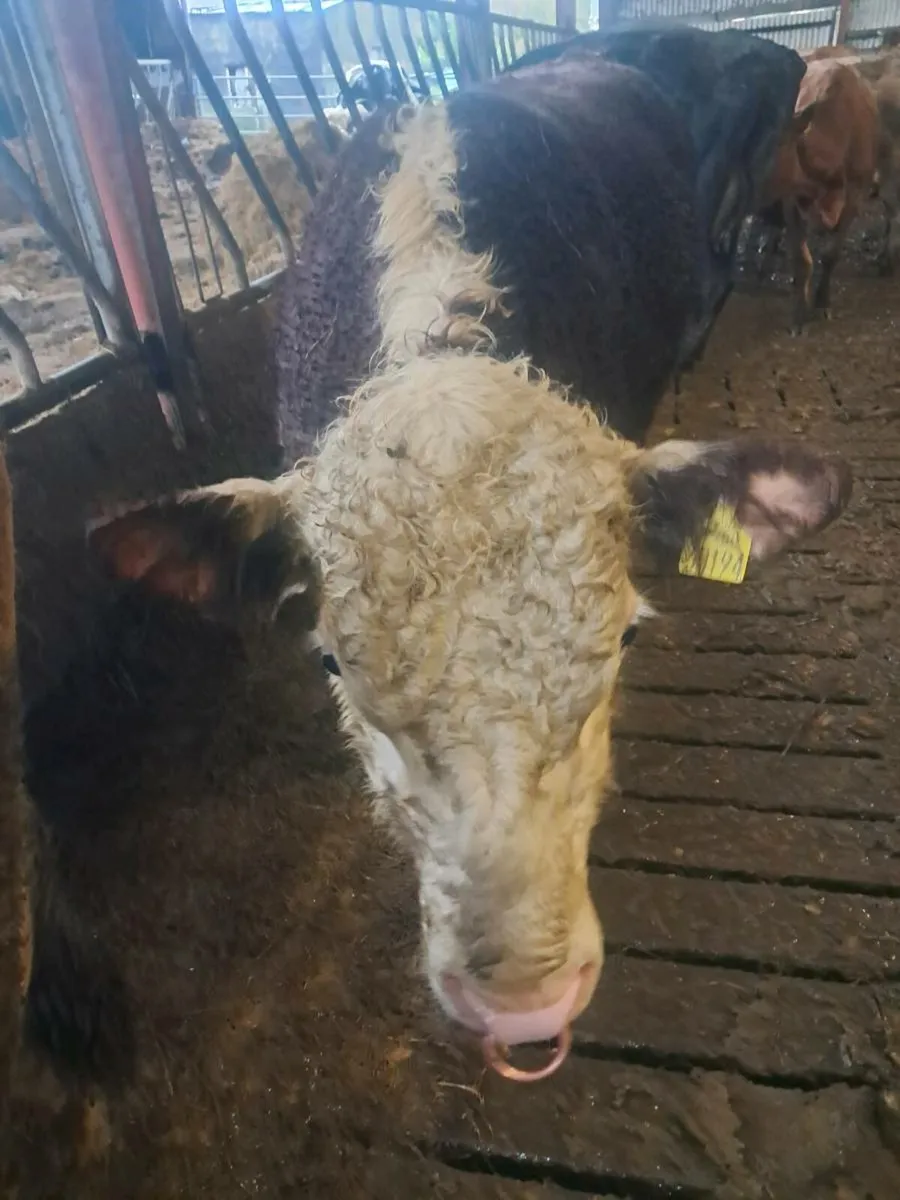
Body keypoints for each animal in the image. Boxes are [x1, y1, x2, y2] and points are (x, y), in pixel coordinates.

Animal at [758, 57, 879, 332]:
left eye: (776, 143)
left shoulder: (855, 195)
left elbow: (830, 255)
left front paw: (822, 302)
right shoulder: (792, 199)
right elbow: (802, 261)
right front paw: (799, 314)